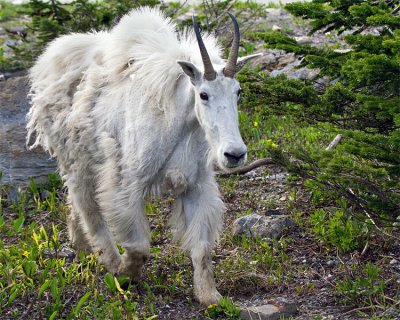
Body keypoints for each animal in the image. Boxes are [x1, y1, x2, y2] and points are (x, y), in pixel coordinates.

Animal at [28, 8, 260, 304]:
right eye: (203, 94)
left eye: (238, 92)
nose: (235, 155)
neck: (181, 123)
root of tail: (51, 60)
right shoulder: (128, 183)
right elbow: (139, 246)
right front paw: (125, 273)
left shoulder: (196, 185)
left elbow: (202, 247)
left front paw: (210, 297)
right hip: (75, 158)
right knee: (87, 206)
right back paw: (106, 257)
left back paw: (81, 248)